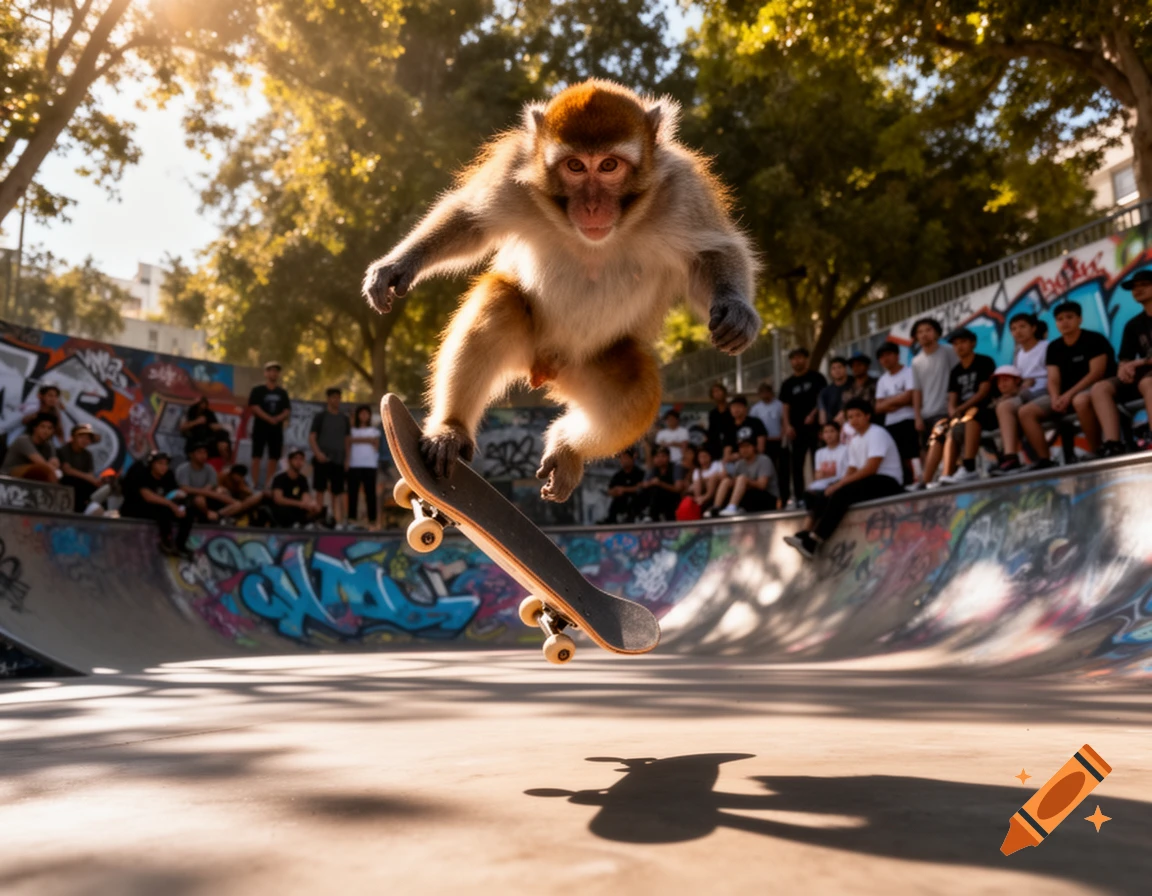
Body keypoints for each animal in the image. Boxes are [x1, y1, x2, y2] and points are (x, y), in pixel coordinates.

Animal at [363, 79, 760, 503]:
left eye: (609, 165)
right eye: (575, 166)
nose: (592, 206)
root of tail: (547, 369)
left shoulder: (683, 191)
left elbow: (712, 253)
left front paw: (736, 310)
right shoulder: (514, 170)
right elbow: (469, 220)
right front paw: (400, 262)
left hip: (590, 365)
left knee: (636, 393)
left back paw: (568, 447)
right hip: (530, 344)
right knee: (499, 304)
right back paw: (451, 429)